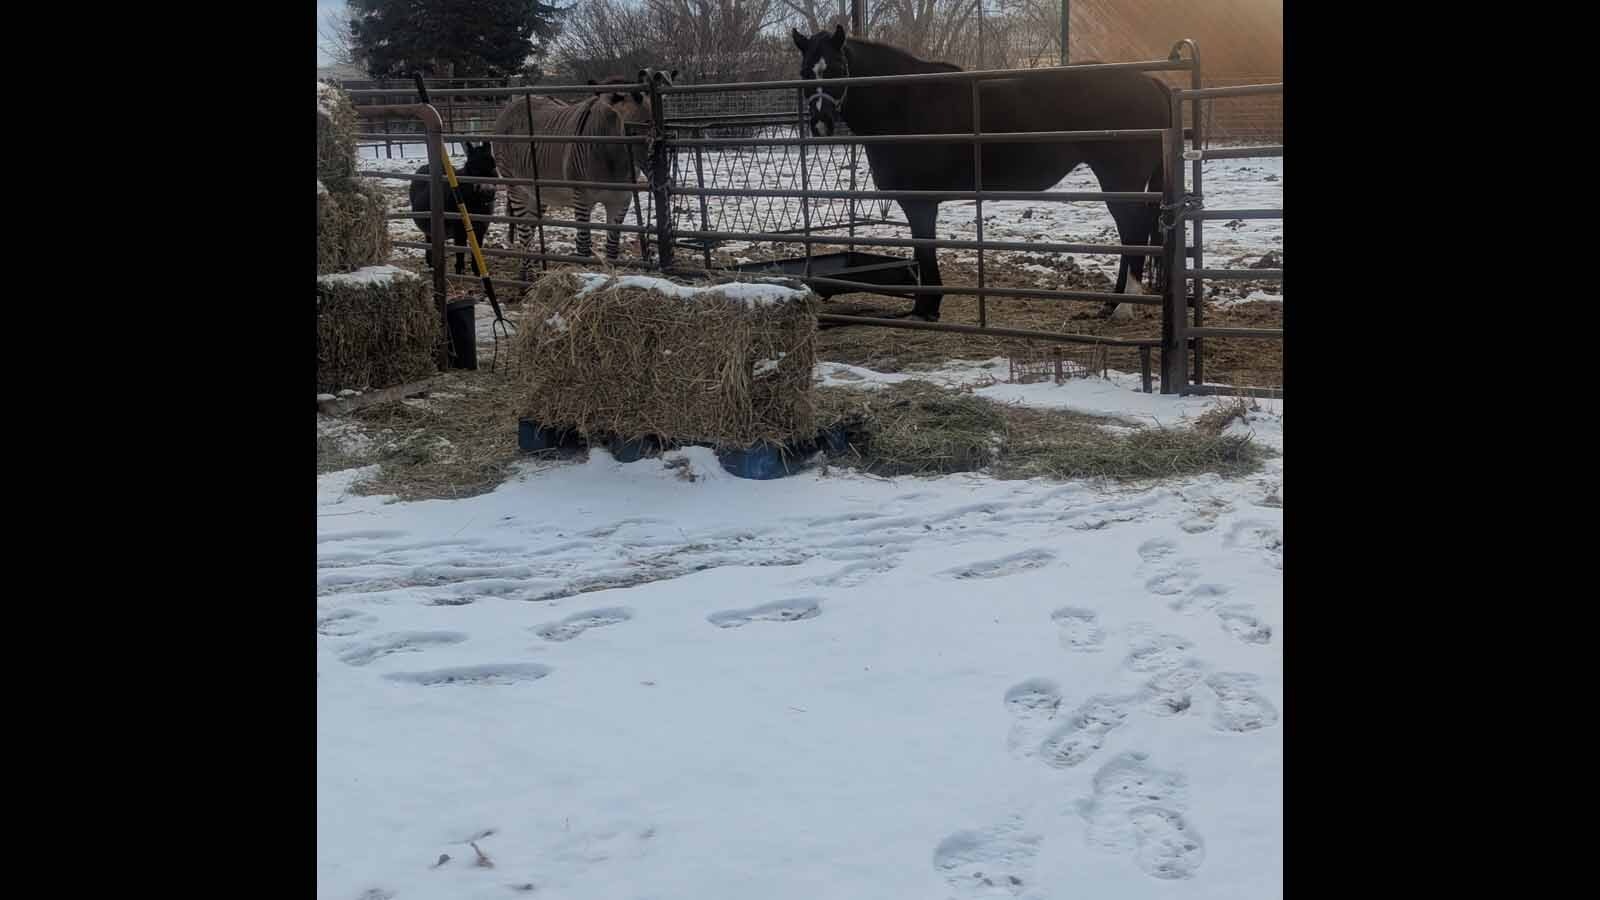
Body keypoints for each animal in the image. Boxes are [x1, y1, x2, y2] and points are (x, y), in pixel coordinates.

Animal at [793, 26, 1171, 320]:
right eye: (805, 72)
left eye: (838, 67)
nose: (821, 124)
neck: (905, 104)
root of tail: (1152, 83)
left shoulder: (920, 202)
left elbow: (925, 250)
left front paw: (926, 308)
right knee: (1130, 234)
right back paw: (1110, 304)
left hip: (1121, 180)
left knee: (1134, 232)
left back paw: (1123, 307)